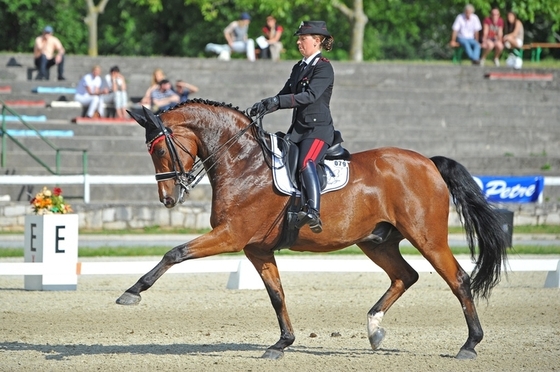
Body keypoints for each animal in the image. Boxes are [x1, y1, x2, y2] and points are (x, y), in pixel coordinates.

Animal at [117, 99, 508, 360]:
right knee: (405, 276)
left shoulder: (231, 236)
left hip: (427, 237)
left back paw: (469, 345)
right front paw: (281, 344)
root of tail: (428, 162)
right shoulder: (256, 248)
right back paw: (374, 329)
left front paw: (132, 292)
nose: (169, 198)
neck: (244, 163)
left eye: (159, 150)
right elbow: (277, 294)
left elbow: (175, 252)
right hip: (377, 242)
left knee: (457, 279)